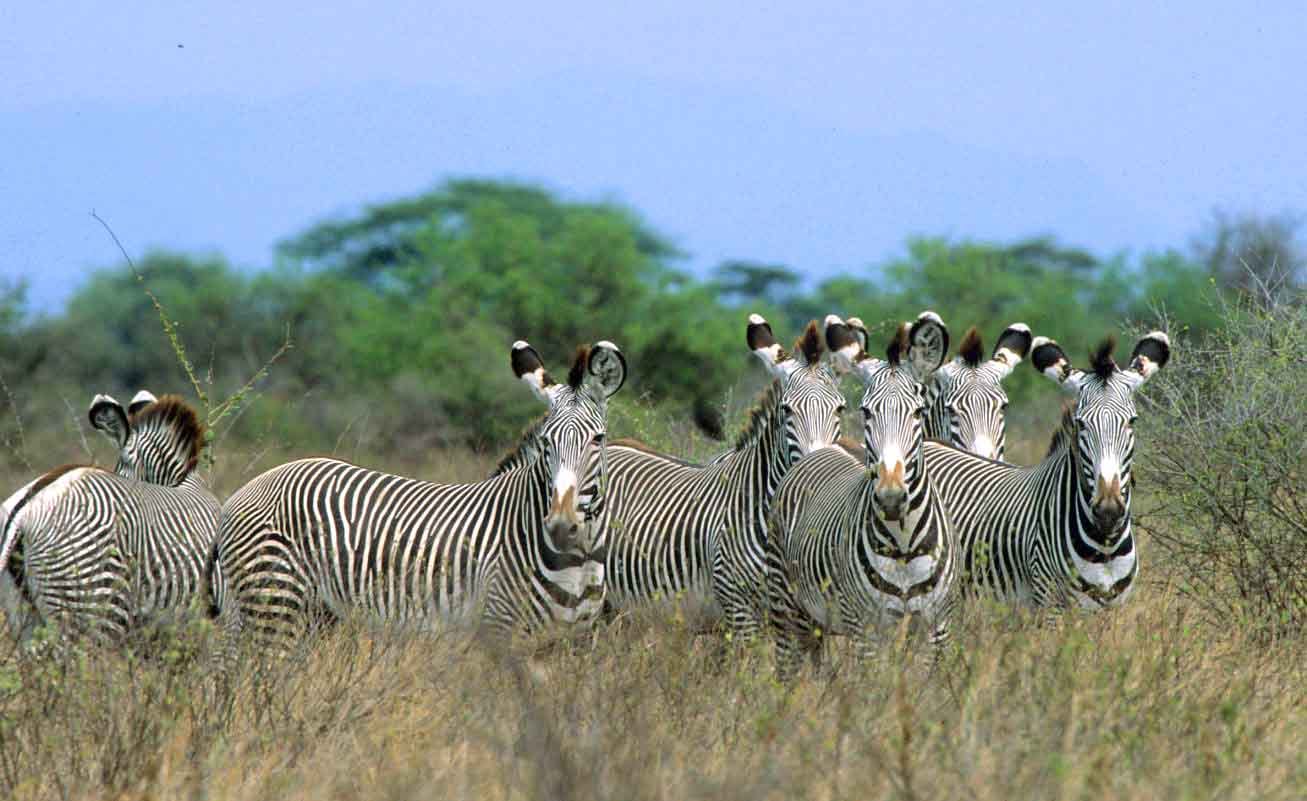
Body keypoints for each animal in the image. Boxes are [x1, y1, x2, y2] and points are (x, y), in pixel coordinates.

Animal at [210, 339, 627, 646]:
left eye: (598, 439)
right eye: (545, 443)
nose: (560, 525)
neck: (577, 562)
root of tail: (245, 490)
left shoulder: (570, 643)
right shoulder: (499, 631)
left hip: (312, 614)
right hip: (274, 602)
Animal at [766, 312, 956, 678]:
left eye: (918, 412)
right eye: (867, 412)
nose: (891, 497)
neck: (904, 545)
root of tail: (822, 449)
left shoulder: (936, 627)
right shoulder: (868, 629)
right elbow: (875, 688)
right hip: (787, 605)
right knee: (786, 667)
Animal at [921, 331, 1172, 609]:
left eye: (1132, 421)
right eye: (1081, 424)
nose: (1108, 510)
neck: (1105, 546)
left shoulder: (1116, 609)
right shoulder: (1048, 604)